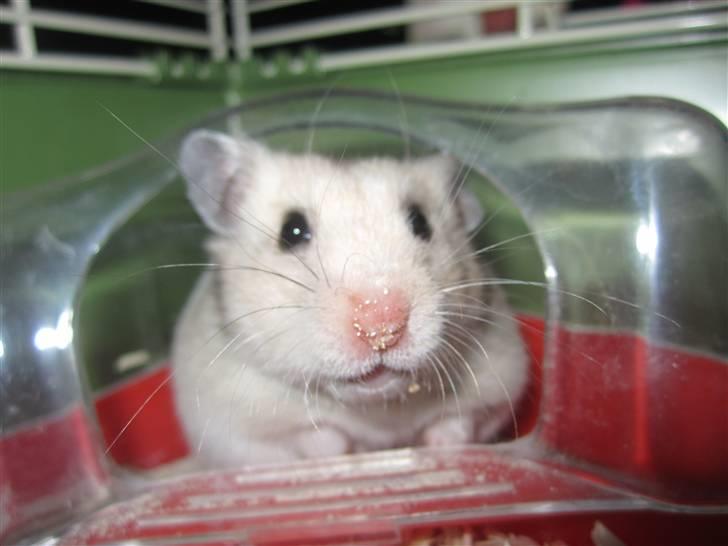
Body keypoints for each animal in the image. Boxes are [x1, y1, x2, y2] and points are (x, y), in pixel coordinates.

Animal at [171, 130, 528, 467]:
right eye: (291, 230)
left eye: (420, 222)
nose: (382, 326)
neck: (376, 407)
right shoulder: (231, 422)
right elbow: (311, 436)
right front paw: (345, 452)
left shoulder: (501, 383)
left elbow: (459, 421)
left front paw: (437, 448)